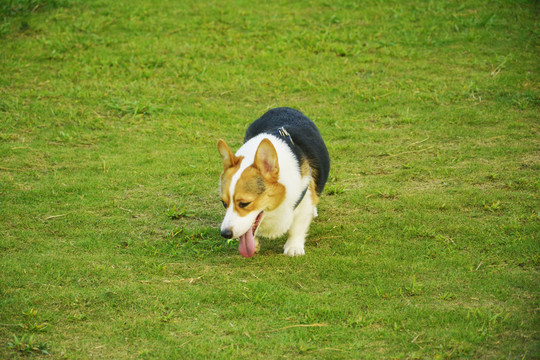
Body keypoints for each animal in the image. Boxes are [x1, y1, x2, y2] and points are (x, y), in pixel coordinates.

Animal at [218, 107, 330, 256]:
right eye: (224, 203)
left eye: (244, 204)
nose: (225, 234)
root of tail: (283, 108)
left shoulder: (304, 198)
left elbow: (297, 227)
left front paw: (293, 247)